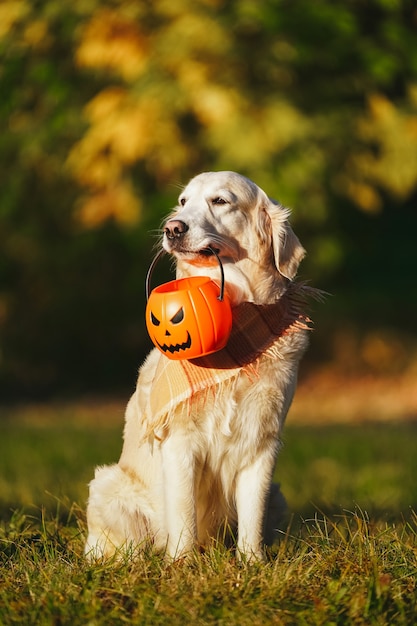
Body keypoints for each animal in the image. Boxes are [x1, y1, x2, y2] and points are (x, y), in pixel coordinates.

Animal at [84, 171, 310, 560]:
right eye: (183, 202)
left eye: (220, 201)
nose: (173, 228)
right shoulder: (180, 442)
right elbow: (184, 513)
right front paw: (182, 564)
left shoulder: (262, 442)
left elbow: (252, 517)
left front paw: (252, 563)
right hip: (108, 486)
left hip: (278, 495)